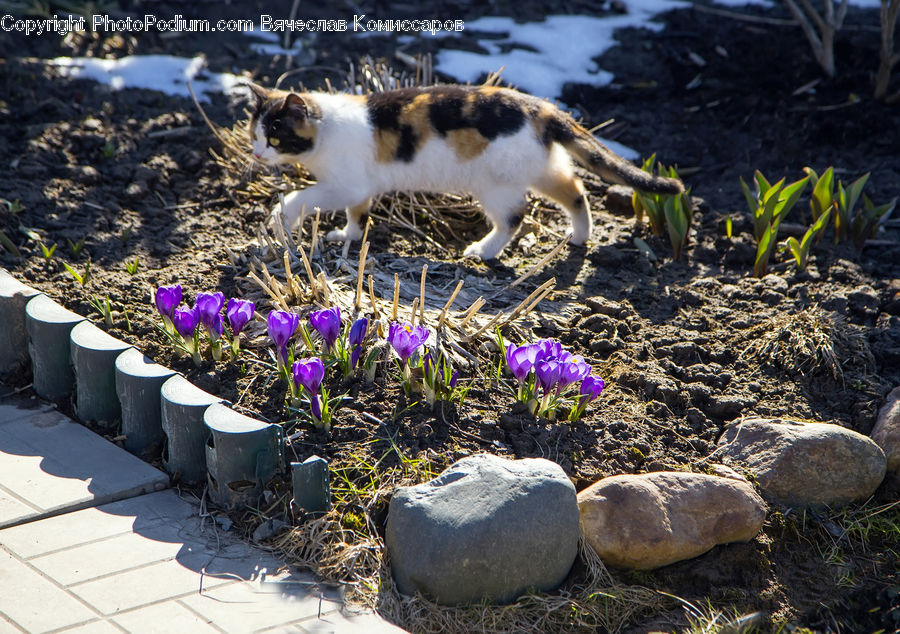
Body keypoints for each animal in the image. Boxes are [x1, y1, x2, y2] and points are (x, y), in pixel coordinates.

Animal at [246, 82, 684, 260]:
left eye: (275, 137)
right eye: (255, 133)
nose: (257, 153)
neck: (326, 129)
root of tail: (540, 107)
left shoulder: (344, 184)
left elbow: (299, 198)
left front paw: (280, 221)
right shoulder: (360, 190)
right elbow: (360, 214)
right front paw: (348, 236)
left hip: (495, 185)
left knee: (515, 217)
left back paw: (483, 251)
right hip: (539, 169)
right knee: (575, 190)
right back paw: (579, 237)